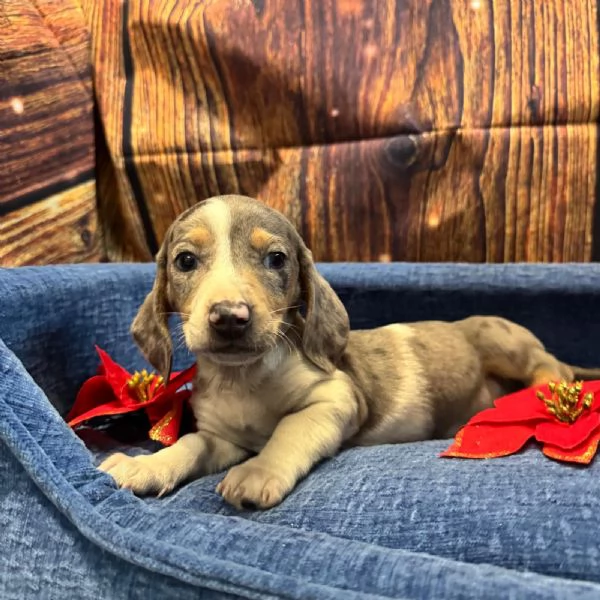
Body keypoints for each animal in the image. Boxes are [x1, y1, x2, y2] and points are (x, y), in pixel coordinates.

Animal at [98, 195, 600, 508]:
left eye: (277, 259)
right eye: (185, 261)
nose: (229, 317)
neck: (245, 378)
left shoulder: (335, 398)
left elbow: (289, 430)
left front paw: (258, 472)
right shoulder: (224, 437)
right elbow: (191, 443)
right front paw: (147, 466)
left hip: (501, 339)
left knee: (547, 366)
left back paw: (541, 397)